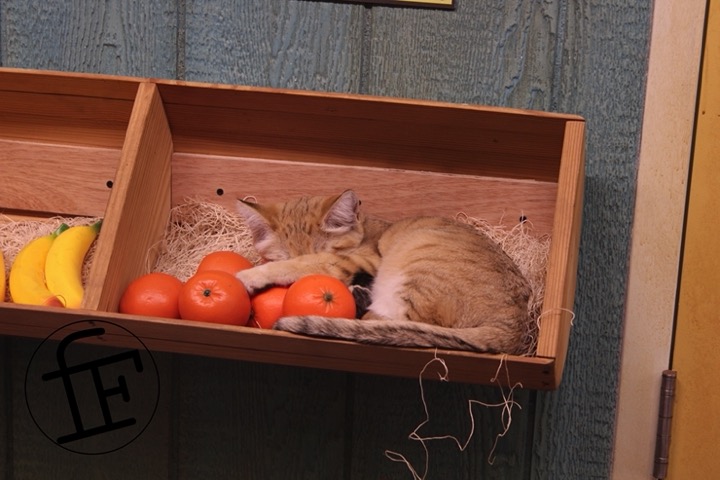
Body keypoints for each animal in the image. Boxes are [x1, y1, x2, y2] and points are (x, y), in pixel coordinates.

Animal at [233, 189, 532, 354]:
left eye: (327, 248)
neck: (365, 229)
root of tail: (512, 327)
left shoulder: (358, 260)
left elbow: (306, 264)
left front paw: (251, 276)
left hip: (415, 265)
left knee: (384, 320)